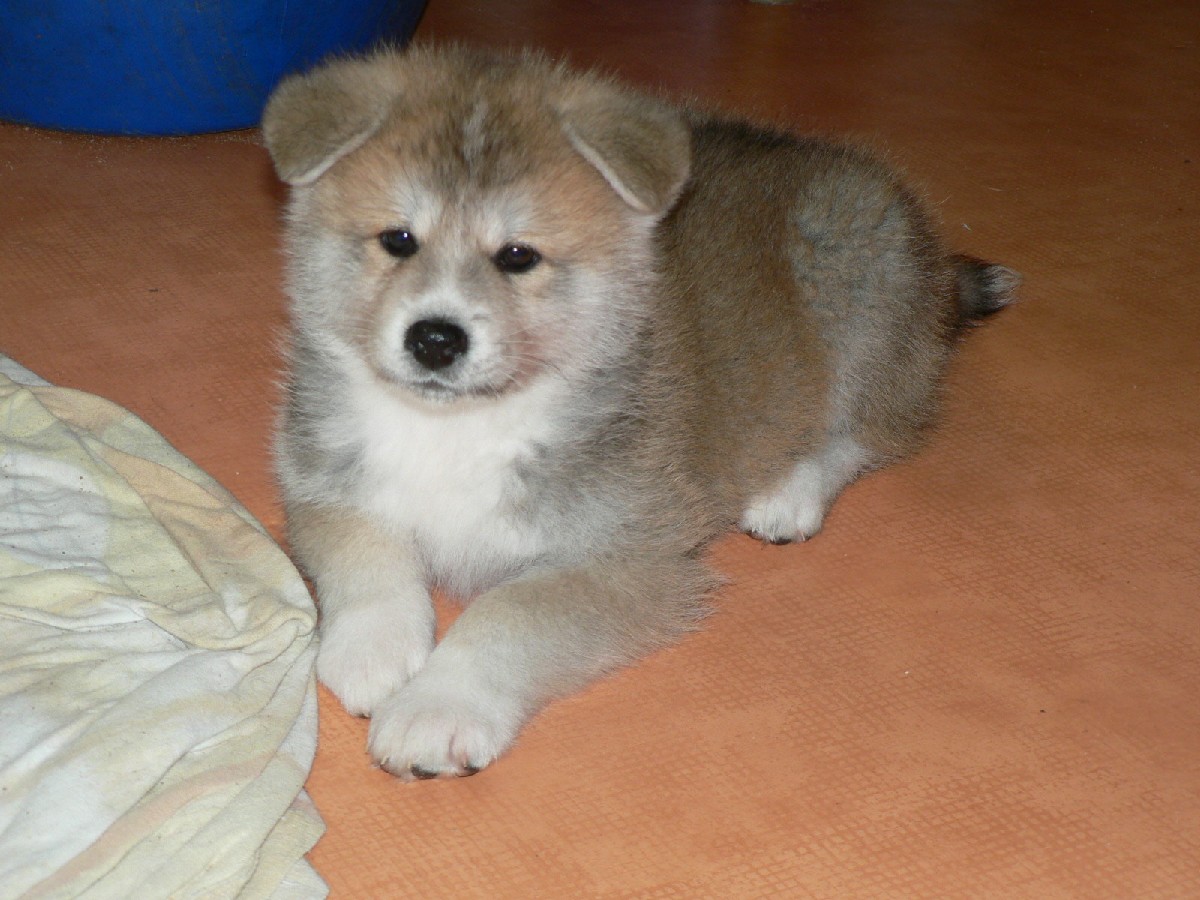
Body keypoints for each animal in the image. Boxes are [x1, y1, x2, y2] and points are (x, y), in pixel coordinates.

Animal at [261, 44, 1017, 779]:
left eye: (518, 256)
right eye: (397, 240)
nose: (435, 339)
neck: (462, 427)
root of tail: (937, 269)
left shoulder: (629, 556)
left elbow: (510, 612)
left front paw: (439, 706)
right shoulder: (321, 478)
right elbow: (364, 551)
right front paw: (374, 649)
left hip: (860, 300)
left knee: (867, 433)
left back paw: (789, 494)